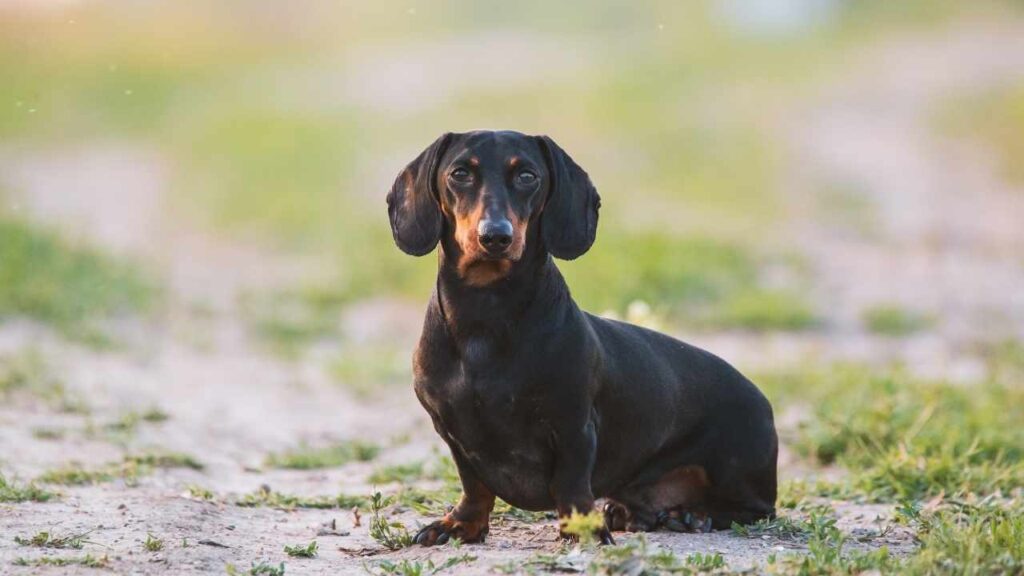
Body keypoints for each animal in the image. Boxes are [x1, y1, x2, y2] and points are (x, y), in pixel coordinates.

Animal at [385, 130, 774, 541]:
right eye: (460, 173)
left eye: (527, 176)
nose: (495, 237)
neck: (485, 313)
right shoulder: (452, 431)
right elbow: (474, 484)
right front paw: (461, 523)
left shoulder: (574, 424)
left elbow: (570, 481)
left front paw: (583, 527)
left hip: (735, 468)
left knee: (755, 509)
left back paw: (692, 515)